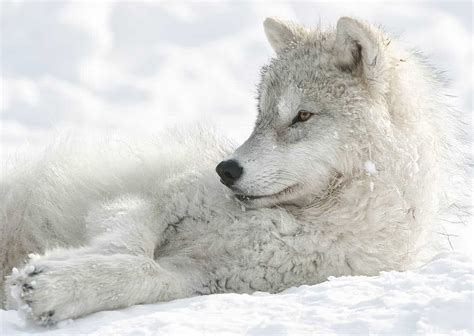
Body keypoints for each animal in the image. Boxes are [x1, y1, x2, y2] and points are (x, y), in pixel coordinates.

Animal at [0, 17, 462, 324]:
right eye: (260, 115)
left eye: (302, 116)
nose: (225, 170)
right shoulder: (151, 198)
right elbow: (128, 246)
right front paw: (57, 267)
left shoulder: (203, 278)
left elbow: (146, 272)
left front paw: (55, 287)